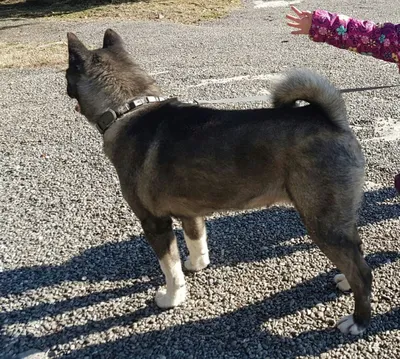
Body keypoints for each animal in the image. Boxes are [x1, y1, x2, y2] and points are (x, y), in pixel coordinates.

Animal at [65, 29, 372, 336]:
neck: (128, 108)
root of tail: (330, 119)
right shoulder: (190, 213)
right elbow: (196, 242)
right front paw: (196, 264)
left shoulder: (154, 223)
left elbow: (170, 269)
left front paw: (172, 297)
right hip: (338, 218)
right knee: (356, 251)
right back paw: (345, 282)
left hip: (322, 223)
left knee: (362, 272)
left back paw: (358, 320)